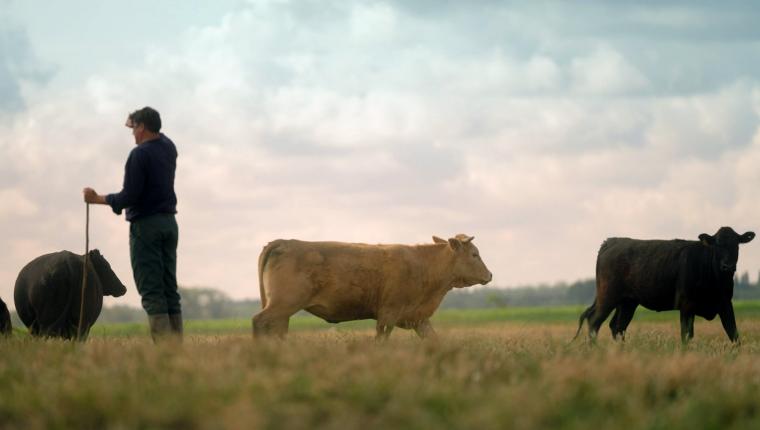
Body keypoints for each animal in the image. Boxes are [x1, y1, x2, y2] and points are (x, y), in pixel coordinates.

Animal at [252, 235, 496, 340]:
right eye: (475, 254)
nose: (490, 275)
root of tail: (285, 242)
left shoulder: (418, 318)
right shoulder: (389, 313)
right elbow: (382, 339)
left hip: (283, 309)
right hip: (284, 303)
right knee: (260, 322)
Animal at [576, 227, 756, 344]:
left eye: (737, 244)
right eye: (717, 244)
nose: (728, 266)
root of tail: (612, 241)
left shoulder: (725, 303)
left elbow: (734, 333)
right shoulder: (686, 305)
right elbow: (686, 335)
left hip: (627, 302)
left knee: (617, 326)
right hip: (608, 296)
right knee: (594, 321)